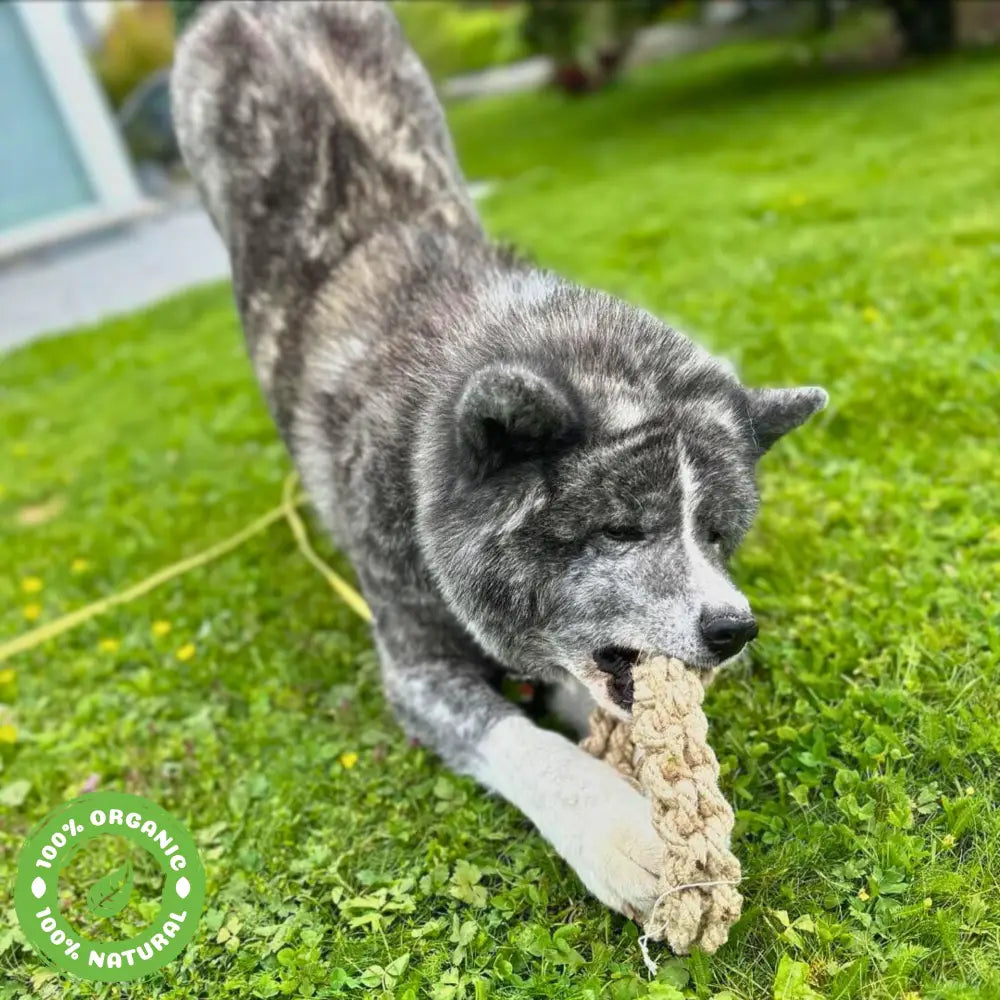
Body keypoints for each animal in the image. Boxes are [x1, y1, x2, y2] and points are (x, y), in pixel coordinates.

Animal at [174, 0, 828, 920]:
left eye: (718, 537)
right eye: (621, 531)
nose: (734, 630)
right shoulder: (415, 665)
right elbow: (517, 739)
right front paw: (623, 832)